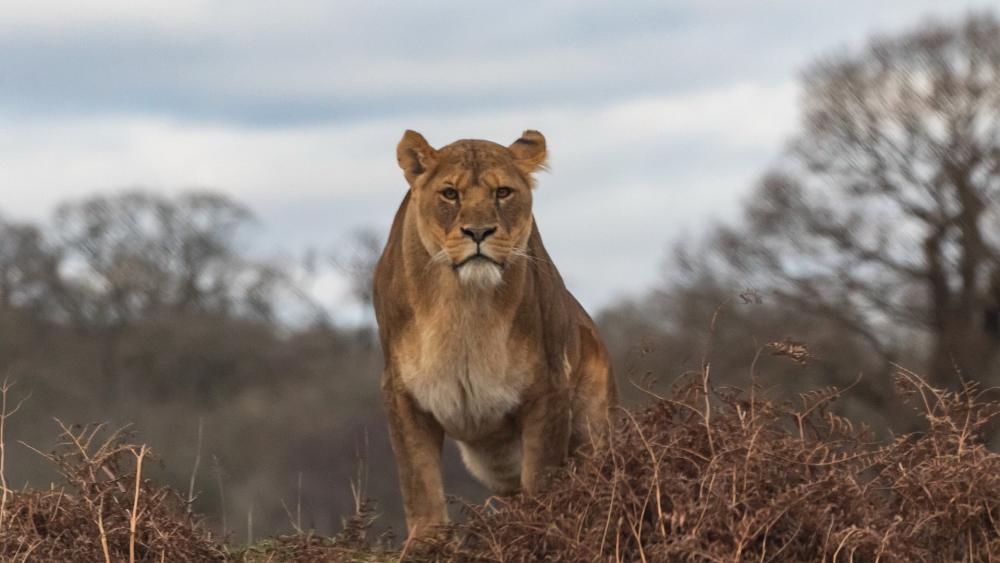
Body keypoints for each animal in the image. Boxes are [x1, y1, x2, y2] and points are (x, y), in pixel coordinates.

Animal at [373, 129, 617, 538]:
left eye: (502, 192)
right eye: (450, 193)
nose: (478, 232)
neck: (463, 304)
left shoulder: (548, 387)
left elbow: (542, 478)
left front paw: (537, 530)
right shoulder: (402, 392)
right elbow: (419, 483)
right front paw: (427, 543)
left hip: (592, 426)